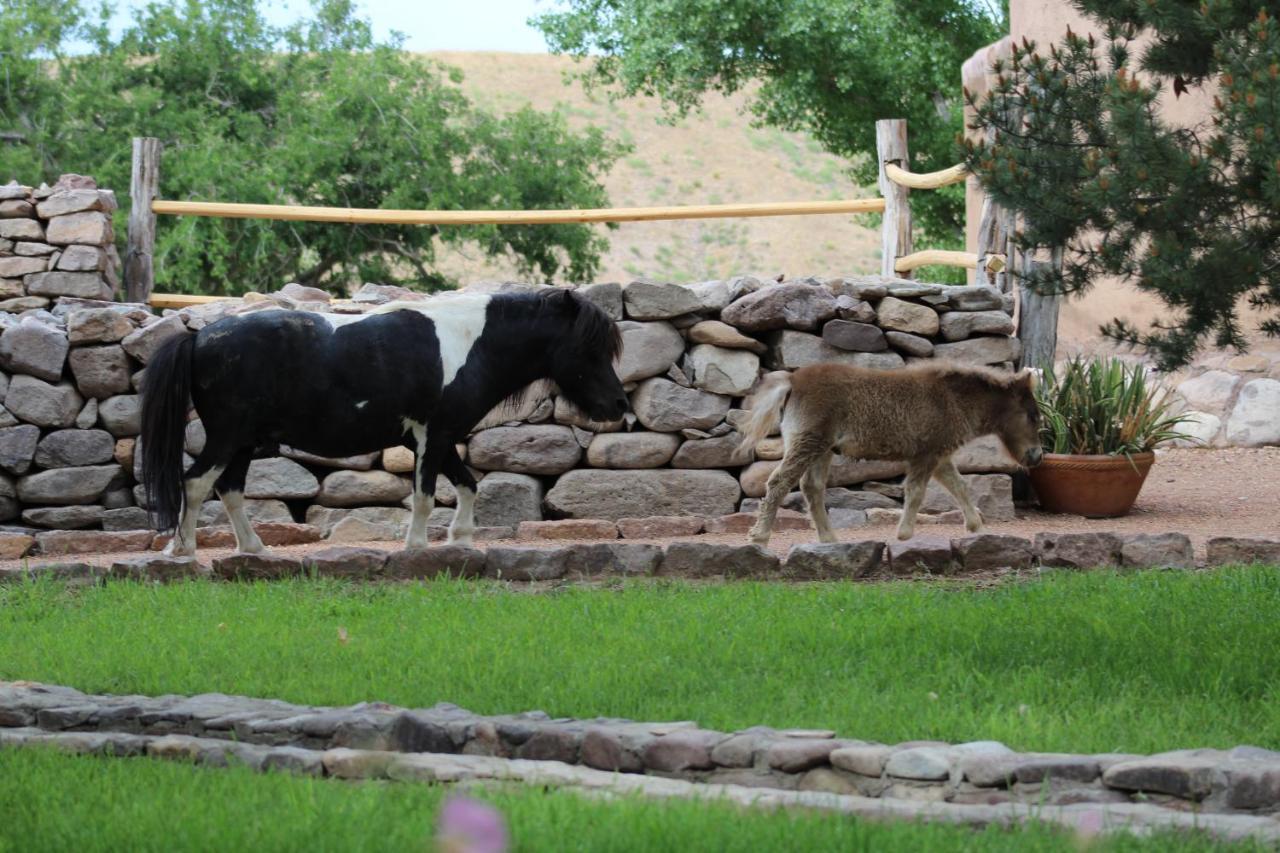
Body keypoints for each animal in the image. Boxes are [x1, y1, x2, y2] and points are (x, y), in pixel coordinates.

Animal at [142, 285, 627, 555]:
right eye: (589, 348)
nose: (620, 406)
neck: (469, 344)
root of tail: (198, 337)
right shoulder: (432, 437)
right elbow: (426, 496)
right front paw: (418, 547)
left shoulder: (438, 438)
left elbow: (468, 485)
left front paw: (461, 538)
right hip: (227, 437)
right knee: (196, 483)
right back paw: (181, 551)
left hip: (243, 442)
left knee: (229, 489)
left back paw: (253, 548)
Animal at [742, 361, 1039, 540]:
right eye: (1033, 416)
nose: (1037, 456)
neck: (952, 399)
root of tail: (793, 379)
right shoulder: (926, 455)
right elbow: (916, 492)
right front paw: (904, 534)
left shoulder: (940, 457)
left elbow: (960, 487)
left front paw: (976, 526)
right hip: (807, 444)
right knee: (779, 482)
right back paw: (759, 536)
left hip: (821, 449)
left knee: (812, 487)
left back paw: (829, 539)